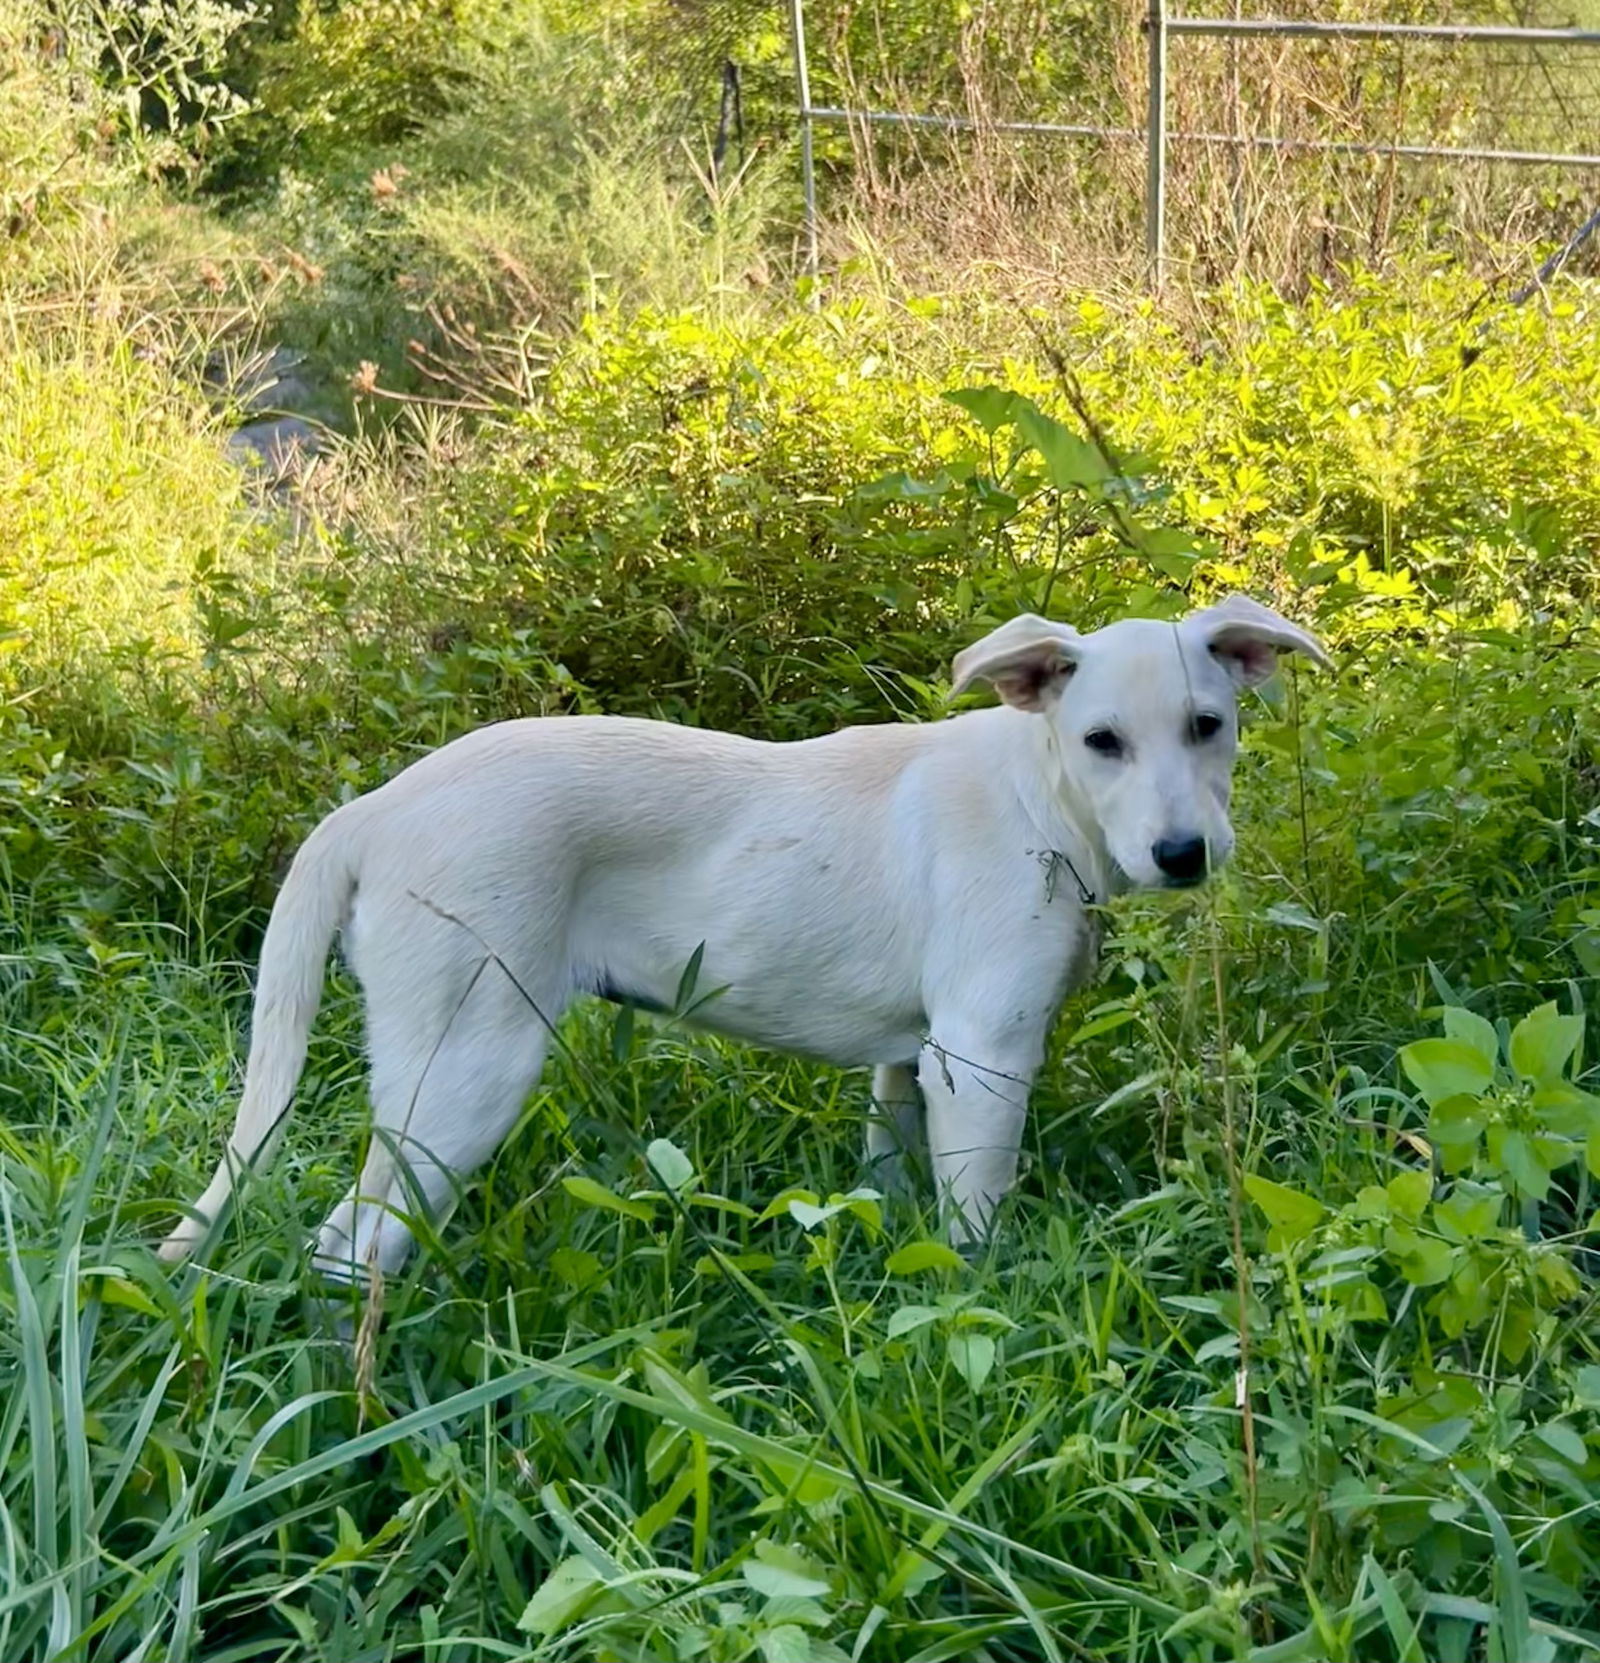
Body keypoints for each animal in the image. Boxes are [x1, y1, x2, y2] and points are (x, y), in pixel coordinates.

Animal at [158, 595, 1323, 1270]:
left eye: (1208, 727)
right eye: (1101, 742)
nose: (1184, 854)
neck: (1041, 804)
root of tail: (373, 808)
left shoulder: (913, 1057)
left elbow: (889, 1170)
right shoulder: (983, 1054)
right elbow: (975, 1223)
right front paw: (987, 1303)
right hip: (465, 1070)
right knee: (355, 1241)